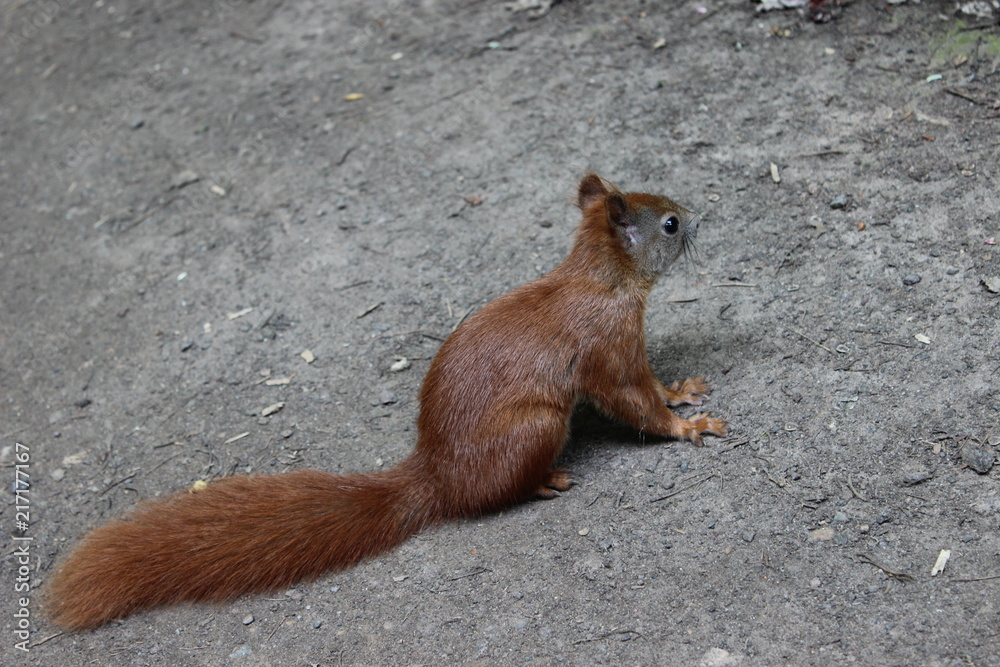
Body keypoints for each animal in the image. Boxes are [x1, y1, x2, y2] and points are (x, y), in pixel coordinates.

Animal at [45, 173, 727, 630]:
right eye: (669, 224)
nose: (699, 215)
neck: (601, 279)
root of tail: (435, 478)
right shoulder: (608, 344)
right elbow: (633, 400)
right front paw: (687, 426)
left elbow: (653, 387)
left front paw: (684, 391)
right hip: (537, 425)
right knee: (497, 492)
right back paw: (544, 481)